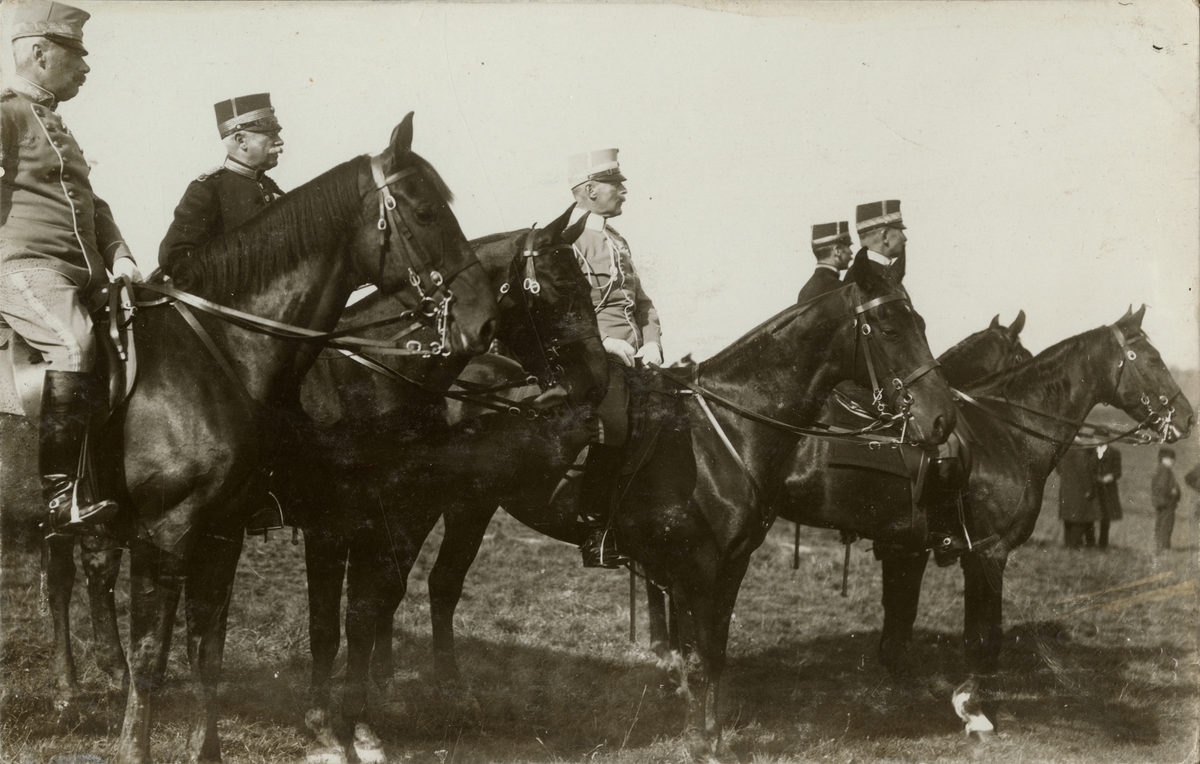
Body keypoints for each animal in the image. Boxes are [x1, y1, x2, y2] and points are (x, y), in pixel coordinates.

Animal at [0, 114, 496, 762]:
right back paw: (73, 693)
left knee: (73, 578)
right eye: (427, 210)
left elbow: (208, 649)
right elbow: (154, 656)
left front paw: (206, 749)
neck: (220, 353)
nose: (484, 324)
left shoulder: (225, 530)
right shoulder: (168, 533)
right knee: (66, 586)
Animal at [290, 203, 609, 762]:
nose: (596, 381)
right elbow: (328, 624)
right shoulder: (329, 526)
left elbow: (365, 611)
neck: (370, 381)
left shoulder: (388, 516)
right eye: (558, 286)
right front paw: (324, 729)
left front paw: (362, 726)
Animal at [307, 250, 955, 758]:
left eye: (922, 320)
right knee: (383, 593)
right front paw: (704, 742)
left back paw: (426, 689)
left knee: (431, 586)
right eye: (889, 327)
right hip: (420, 507)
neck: (724, 432)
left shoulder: (730, 566)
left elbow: (714, 652)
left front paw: (707, 735)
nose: (941, 420)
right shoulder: (698, 567)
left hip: (471, 506)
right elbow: (700, 655)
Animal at [777, 305, 1190, 738]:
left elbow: (900, 628)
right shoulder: (987, 552)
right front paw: (972, 709)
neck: (1004, 432)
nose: (1187, 417)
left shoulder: (908, 549)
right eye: (1153, 359)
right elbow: (981, 638)